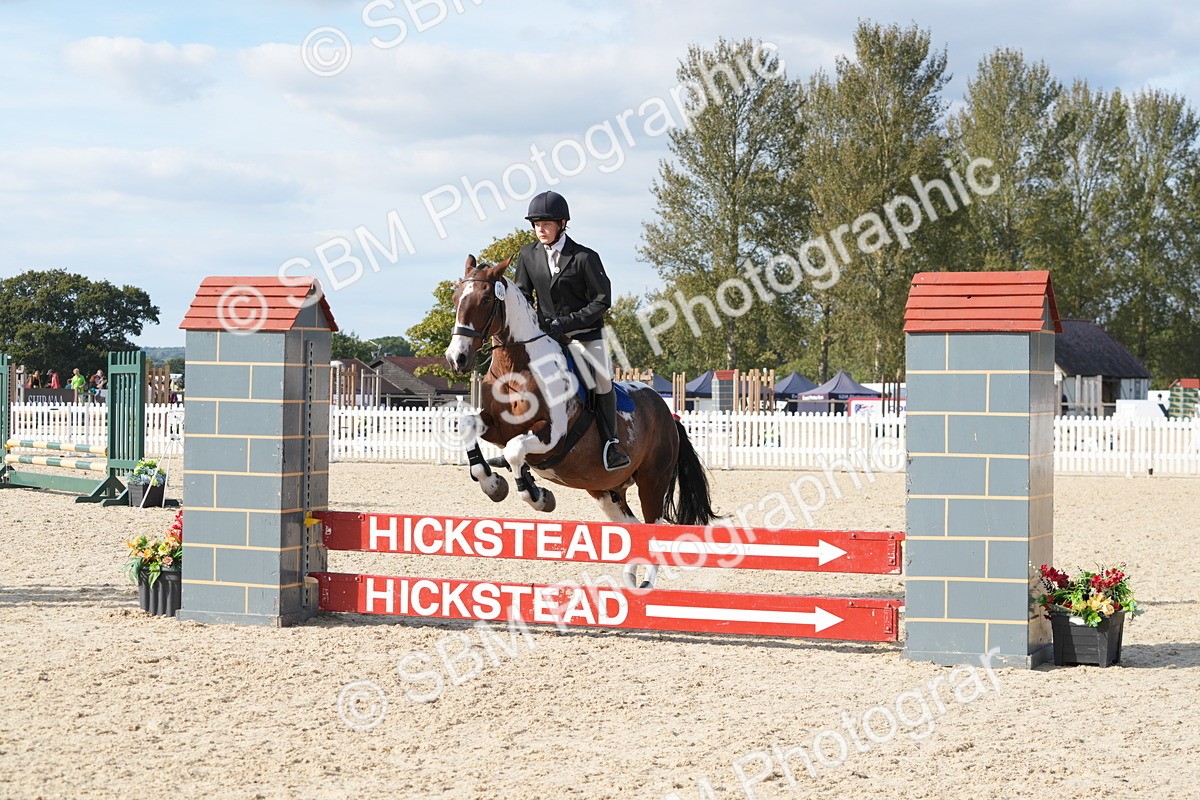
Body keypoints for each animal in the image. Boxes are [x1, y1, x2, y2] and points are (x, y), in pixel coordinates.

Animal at [444, 255, 717, 588]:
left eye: (485, 300)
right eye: (456, 299)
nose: (456, 358)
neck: (515, 369)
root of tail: (668, 415)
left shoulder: (551, 436)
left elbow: (515, 450)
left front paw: (537, 496)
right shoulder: (496, 426)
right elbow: (470, 428)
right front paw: (493, 484)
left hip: (653, 481)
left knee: (654, 524)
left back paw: (646, 583)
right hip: (606, 491)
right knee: (632, 525)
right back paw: (629, 578)